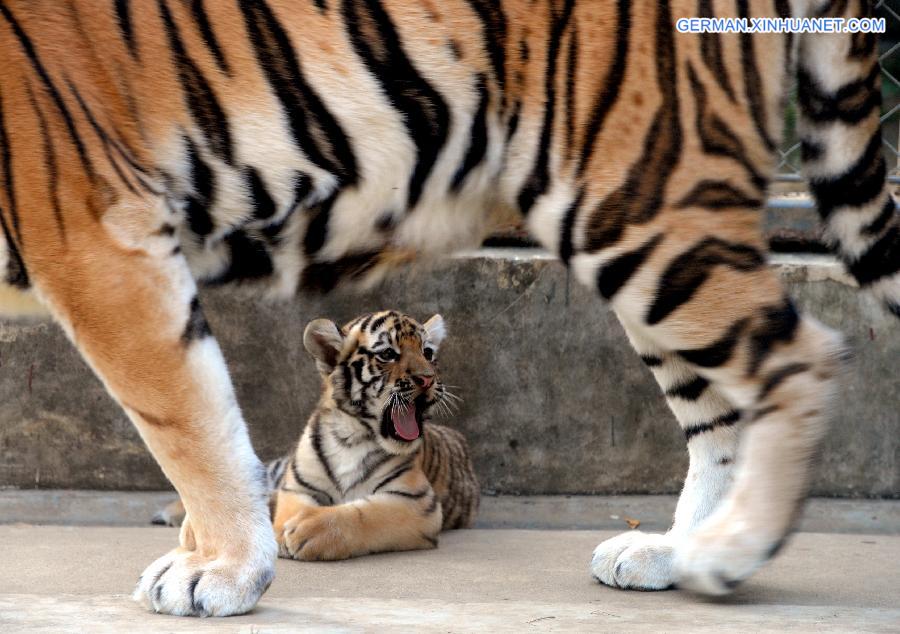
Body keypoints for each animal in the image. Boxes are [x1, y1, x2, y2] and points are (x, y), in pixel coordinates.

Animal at [1, 0, 900, 616]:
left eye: (425, 353)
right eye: (383, 355)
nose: (427, 390)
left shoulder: (96, 233)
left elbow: (189, 428)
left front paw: (222, 572)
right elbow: (227, 450)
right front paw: (227, 547)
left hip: (645, 197)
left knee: (801, 362)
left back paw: (728, 553)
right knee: (720, 415)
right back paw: (679, 553)